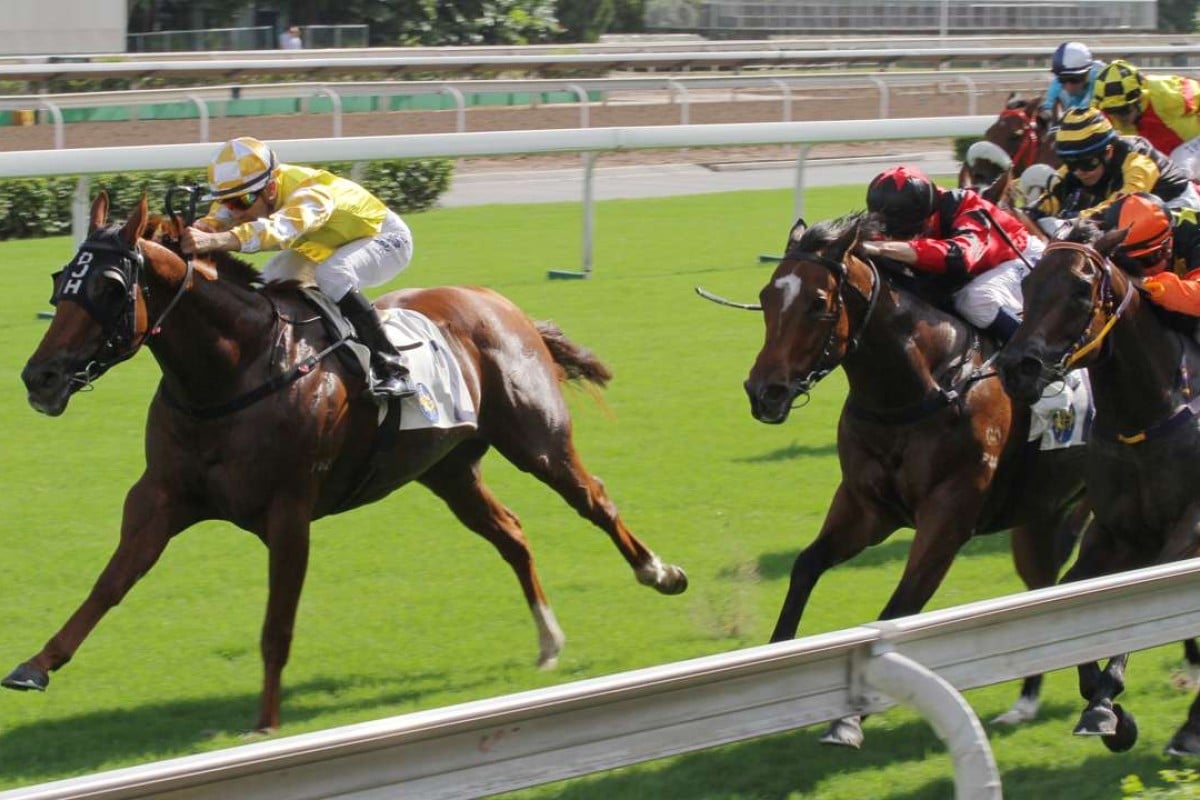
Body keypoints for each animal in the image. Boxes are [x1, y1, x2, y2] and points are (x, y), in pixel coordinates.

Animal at [9, 194, 691, 734]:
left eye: (110, 286)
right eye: (61, 279)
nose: (40, 377)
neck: (235, 372)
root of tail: (502, 305)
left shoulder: (289, 510)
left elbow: (276, 623)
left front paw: (266, 724)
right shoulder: (162, 496)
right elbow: (109, 583)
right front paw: (34, 666)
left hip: (538, 441)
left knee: (593, 498)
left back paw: (659, 572)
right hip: (448, 470)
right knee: (512, 534)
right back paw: (549, 639)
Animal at [739, 214, 1089, 753]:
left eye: (817, 303)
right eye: (766, 295)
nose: (764, 392)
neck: (921, 388)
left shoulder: (948, 518)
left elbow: (896, 611)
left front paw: (848, 720)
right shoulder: (866, 507)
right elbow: (806, 566)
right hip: (1041, 516)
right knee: (1044, 588)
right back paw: (1026, 702)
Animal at [998, 224, 1200, 758]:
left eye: (1080, 289)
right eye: (1027, 285)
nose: (1017, 367)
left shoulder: (1188, 532)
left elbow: (1146, 601)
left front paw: (1108, 705)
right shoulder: (1118, 533)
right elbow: (1080, 598)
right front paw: (1107, 706)